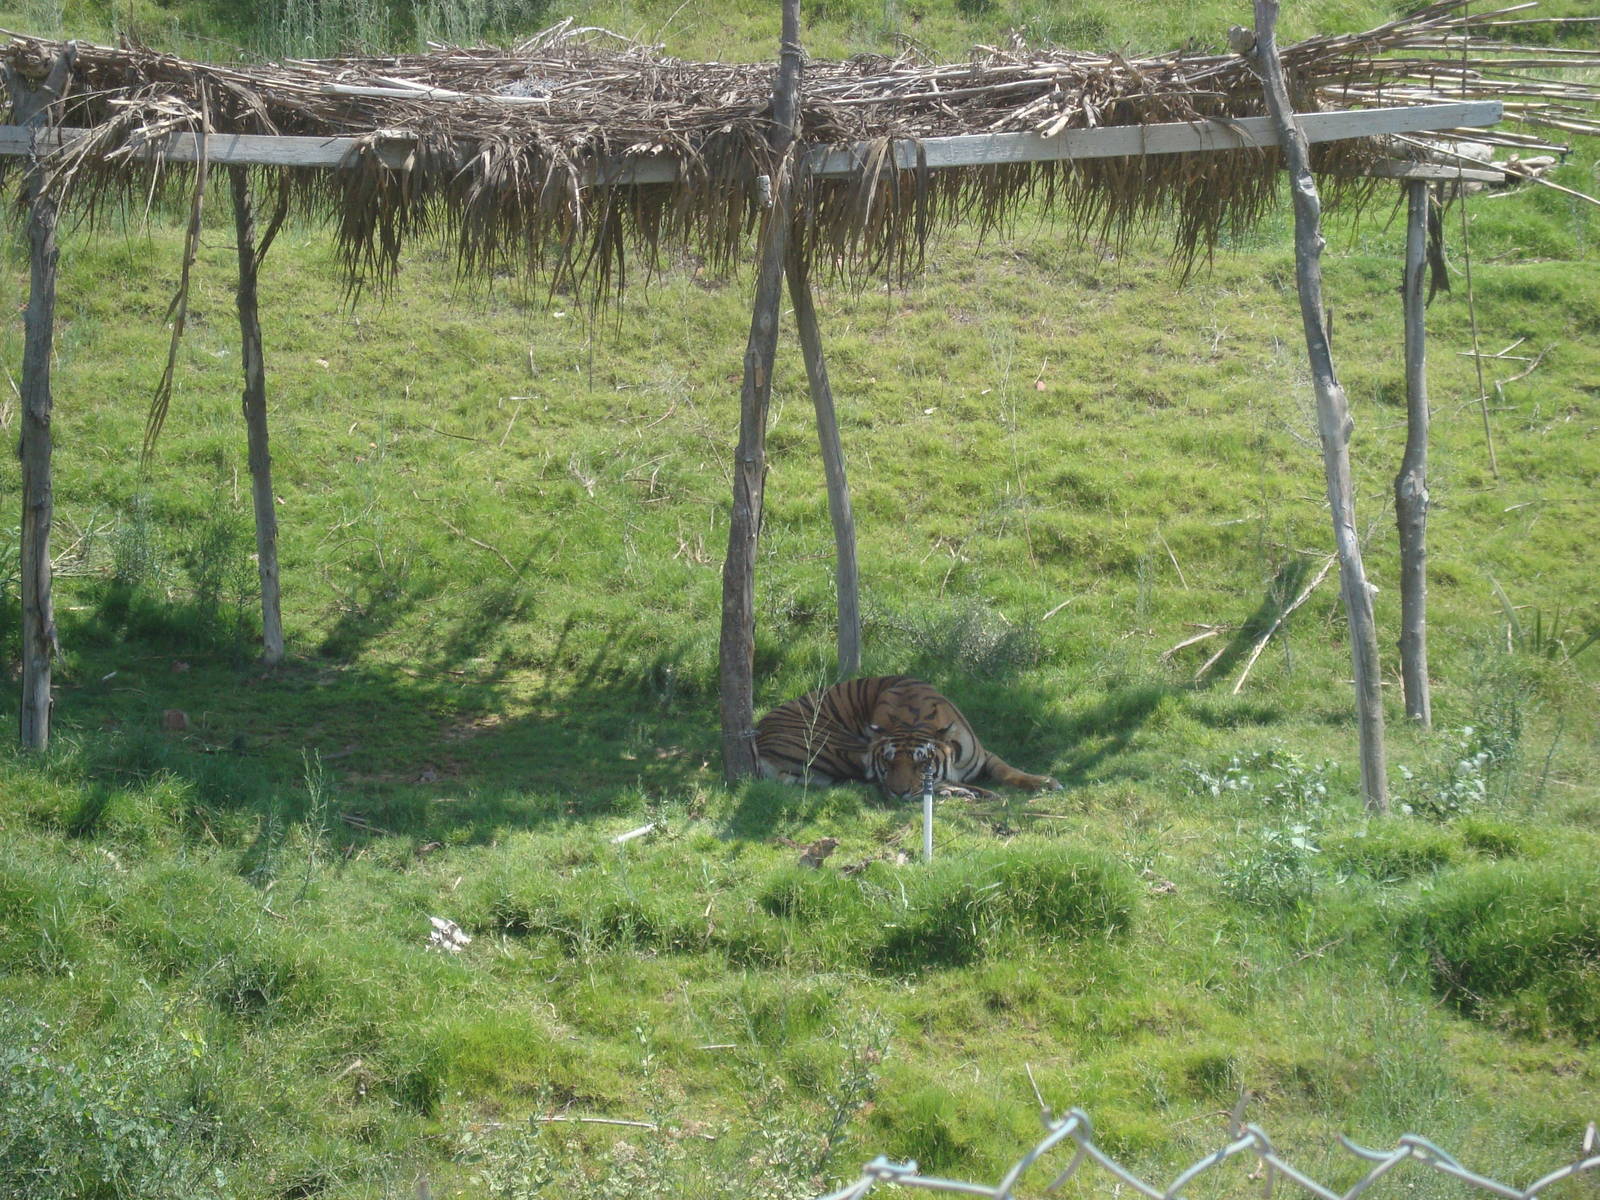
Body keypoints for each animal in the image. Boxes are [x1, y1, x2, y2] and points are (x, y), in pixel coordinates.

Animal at [754, 675, 1061, 800]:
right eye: (888, 764)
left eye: (921, 764)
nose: (898, 792)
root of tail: (757, 736)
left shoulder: (985, 755)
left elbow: (1008, 770)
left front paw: (1043, 782)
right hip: (839, 744)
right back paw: (967, 792)